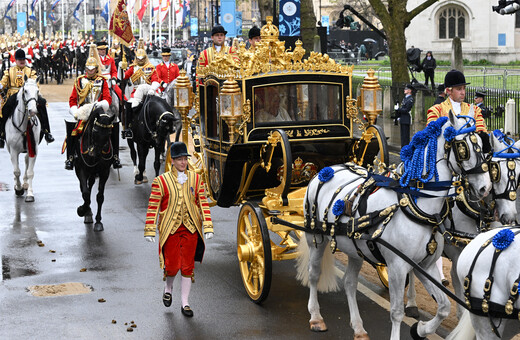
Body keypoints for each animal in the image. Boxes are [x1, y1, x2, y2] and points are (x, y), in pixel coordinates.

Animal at [296, 112, 492, 340]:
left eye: (483, 146)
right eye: (463, 147)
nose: (485, 188)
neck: (416, 206)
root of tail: (325, 170)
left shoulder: (424, 265)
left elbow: (444, 306)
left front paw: (421, 328)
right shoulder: (397, 266)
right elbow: (397, 311)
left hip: (354, 250)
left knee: (349, 283)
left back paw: (358, 328)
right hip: (315, 239)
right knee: (314, 273)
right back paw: (316, 317)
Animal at [406, 132, 520, 318]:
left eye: (518, 175)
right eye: (495, 171)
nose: (509, 217)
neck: (478, 214)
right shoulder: (458, 260)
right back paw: (411, 302)